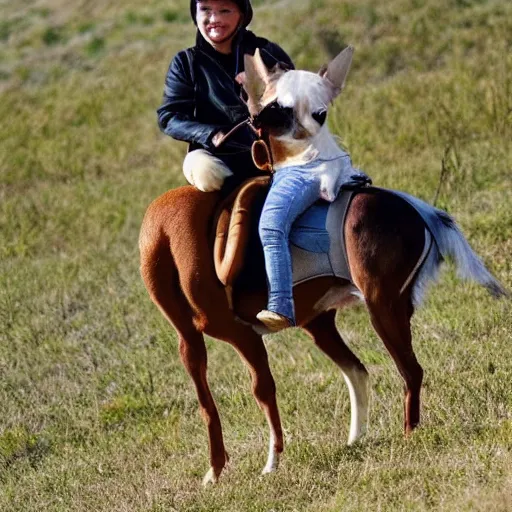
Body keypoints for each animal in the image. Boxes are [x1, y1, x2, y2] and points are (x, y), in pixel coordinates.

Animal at [138, 45, 506, 484]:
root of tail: (416, 210)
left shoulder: (242, 335)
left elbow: (262, 389)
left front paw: (271, 464)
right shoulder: (201, 340)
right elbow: (212, 400)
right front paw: (218, 472)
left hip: (381, 308)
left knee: (408, 370)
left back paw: (408, 436)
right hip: (333, 321)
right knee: (363, 371)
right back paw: (356, 441)